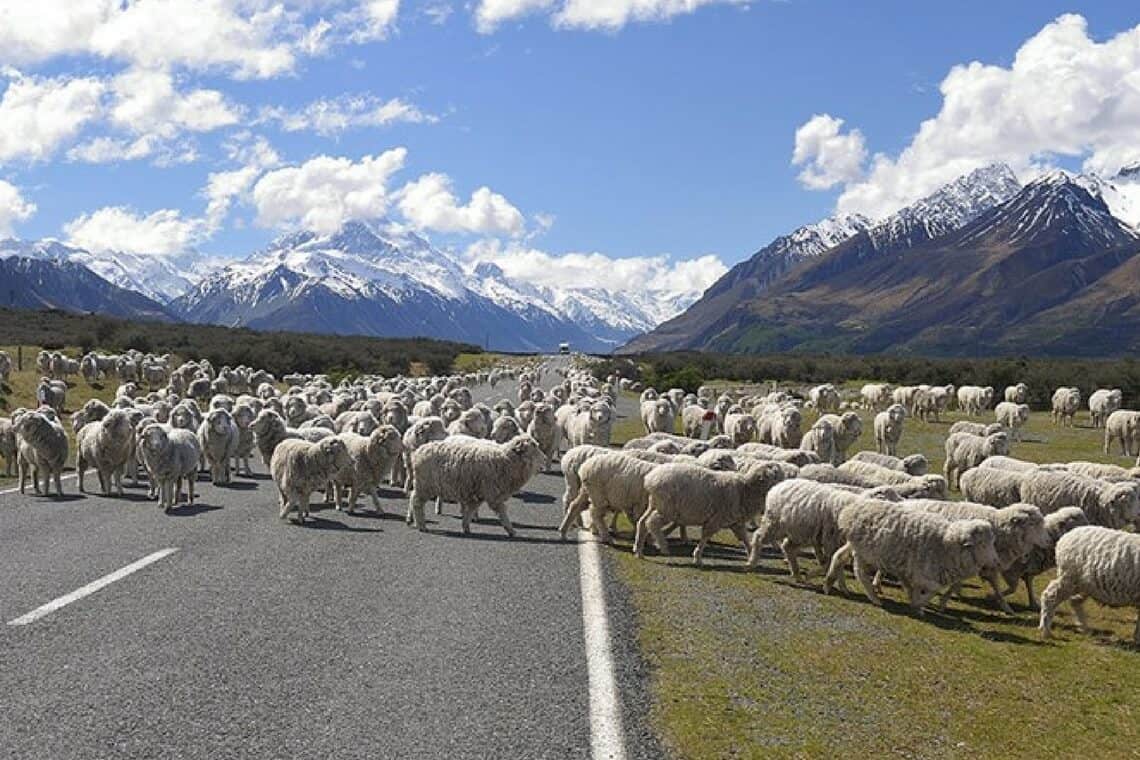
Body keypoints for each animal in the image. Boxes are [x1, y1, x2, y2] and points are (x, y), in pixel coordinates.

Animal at [405, 432, 547, 535]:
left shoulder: (479, 493)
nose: (545, 459)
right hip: (425, 484)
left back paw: (411, 519)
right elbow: (502, 513)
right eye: (533, 448)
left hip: (425, 484)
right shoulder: (493, 494)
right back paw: (421, 525)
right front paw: (511, 530)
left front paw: (466, 526)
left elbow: (471, 509)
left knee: (412, 498)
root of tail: (417, 452)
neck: (506, 460)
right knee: (417, 502)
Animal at [633, 458, 793, 565]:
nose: (784, 487)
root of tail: (650, 479)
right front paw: (697, 557)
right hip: (667, 508)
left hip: (655, 504)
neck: (745, 490)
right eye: (777, 476)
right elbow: (705, 537)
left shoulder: (735, 522)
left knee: (642, 522)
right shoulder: (716, 520)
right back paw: (663, 546)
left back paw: (639, 551)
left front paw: (751, 557)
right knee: (652, 522)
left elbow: (745, 539)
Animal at [825, 499, 1003, 610]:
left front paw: (914, 598)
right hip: (866, 551)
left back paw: (831, 584)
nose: (997, 562)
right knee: (859, 572)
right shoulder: (922, 573)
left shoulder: (913, 571)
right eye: (982, 544)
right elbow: (933, 588)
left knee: (839, 557)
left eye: (993, 542)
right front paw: (918, 603)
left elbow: (915, 586)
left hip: (856, 545)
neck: (946, 545)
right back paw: (874, 598)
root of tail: (849, 511)